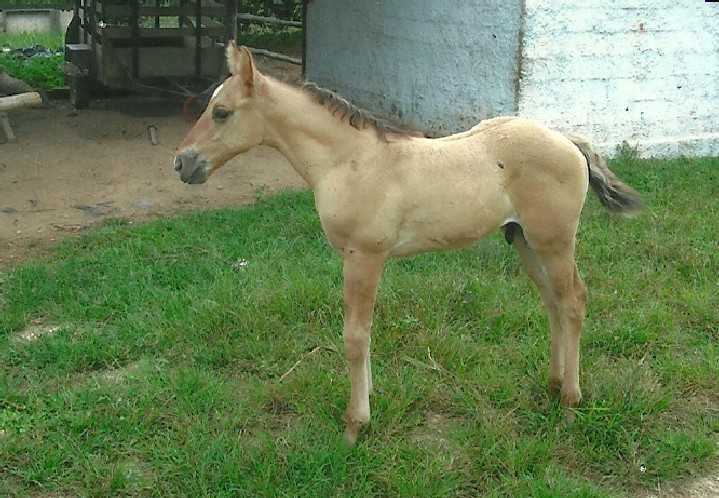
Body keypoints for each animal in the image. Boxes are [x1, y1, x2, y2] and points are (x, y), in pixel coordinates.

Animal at [174, 42, 642, 445]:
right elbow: (364, 334)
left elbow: (354, 335)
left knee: (574, 301)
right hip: (525, 240)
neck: (349, 161)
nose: (181, 163)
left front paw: (354, 425)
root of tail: (570, 142)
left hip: (555, 240)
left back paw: (570, 403)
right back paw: (553, 383)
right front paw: (368, 400)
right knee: (553, 303)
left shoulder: (364, 256)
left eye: (221, 112)